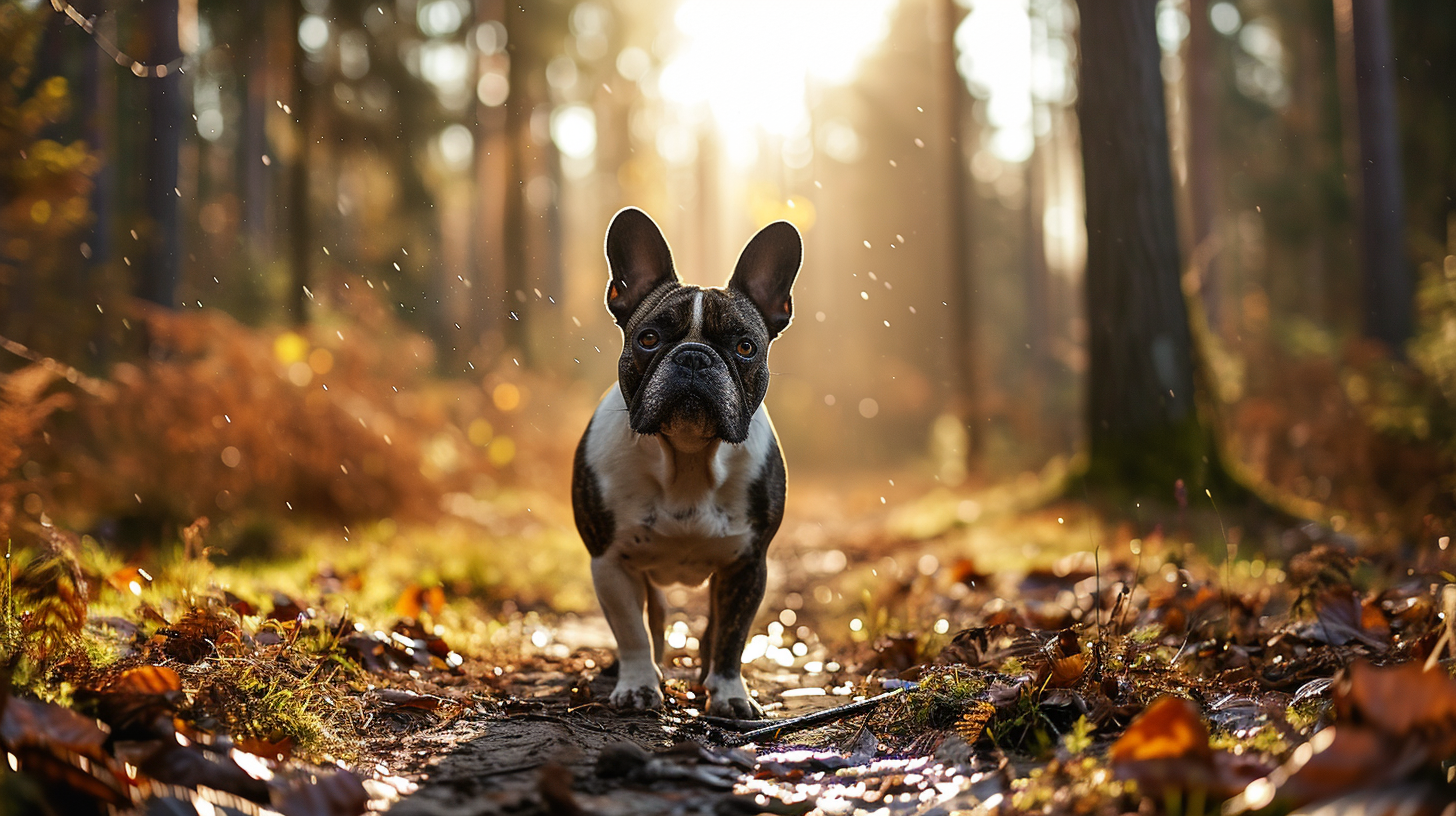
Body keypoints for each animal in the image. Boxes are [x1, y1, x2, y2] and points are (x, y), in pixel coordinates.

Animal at [570, 206, 803, 716]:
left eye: (745, 347)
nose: (695, 357)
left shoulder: (748, 564)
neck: (689, 457)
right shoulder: (609, 561)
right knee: (654, 622)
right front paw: (639, 685)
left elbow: (732, 636)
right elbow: (632, 633)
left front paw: (730, 693)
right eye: (649, 338)